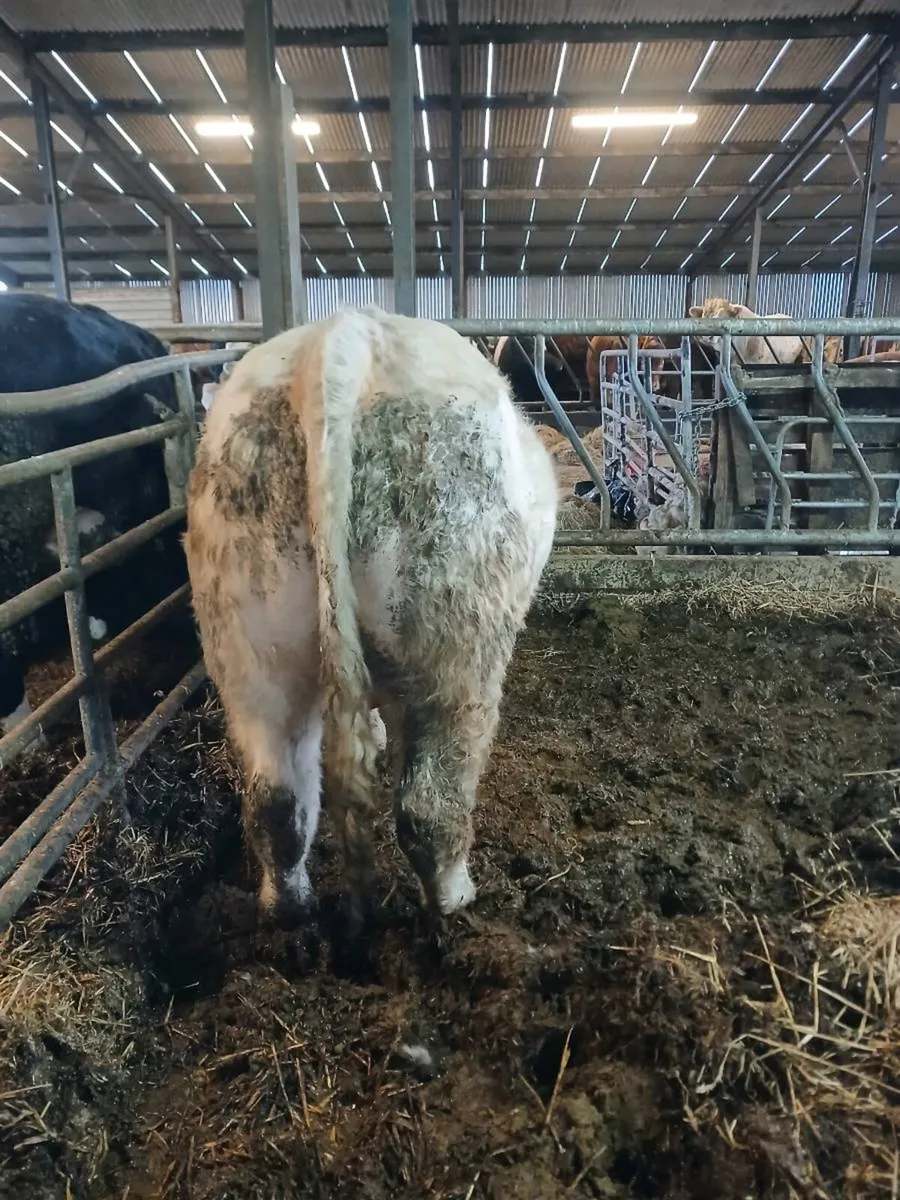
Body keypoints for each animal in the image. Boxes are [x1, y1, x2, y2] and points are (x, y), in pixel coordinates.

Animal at [184, 306, 558, 926]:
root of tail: (340, 341)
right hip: (458, 639)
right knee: (429, 804)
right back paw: (455, 900)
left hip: (249, 640)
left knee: (275, 801)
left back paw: (289, 908)